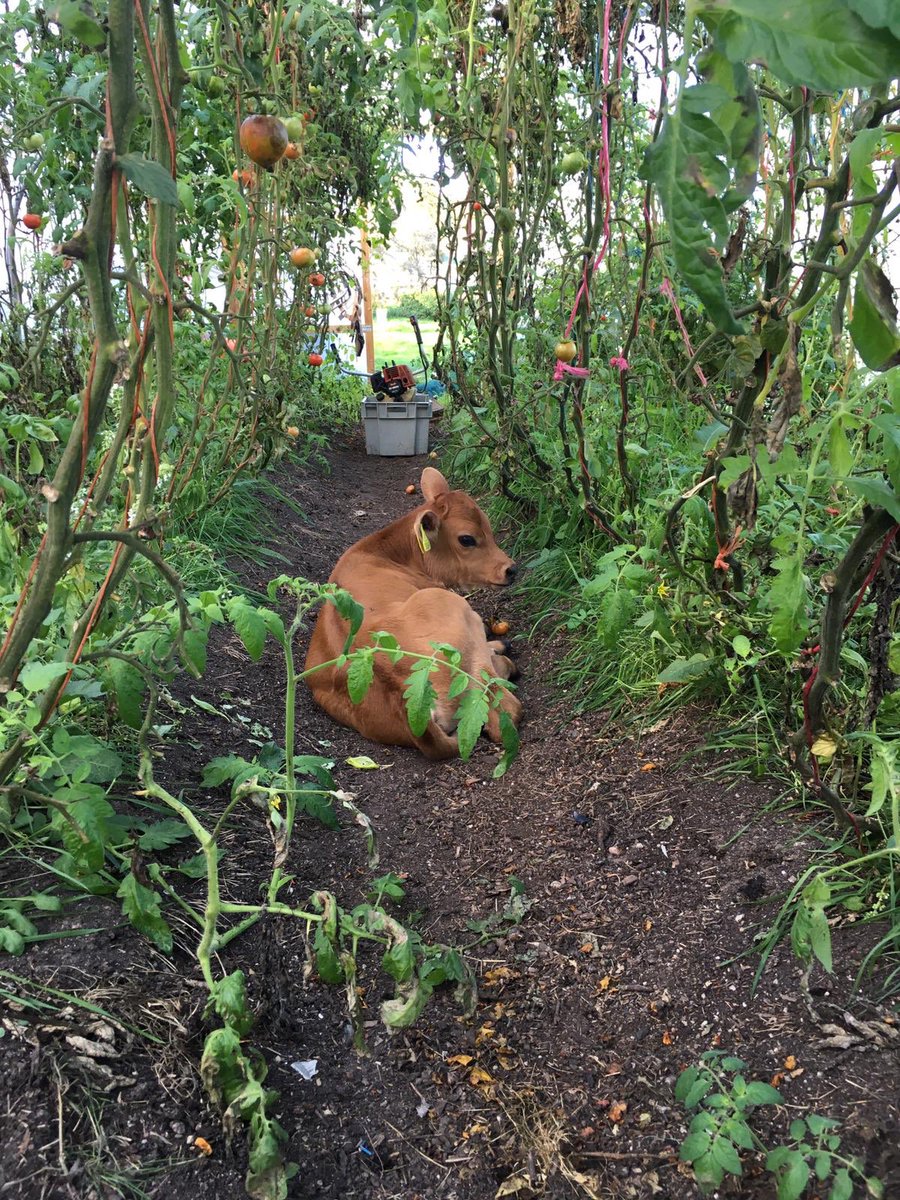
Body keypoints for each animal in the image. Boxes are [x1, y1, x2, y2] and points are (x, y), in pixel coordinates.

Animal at [304, 467, 522, 759]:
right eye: (466, 539)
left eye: (488, 527)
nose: (510, 569)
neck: (388, 553)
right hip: (455, 612)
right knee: (504, 710)